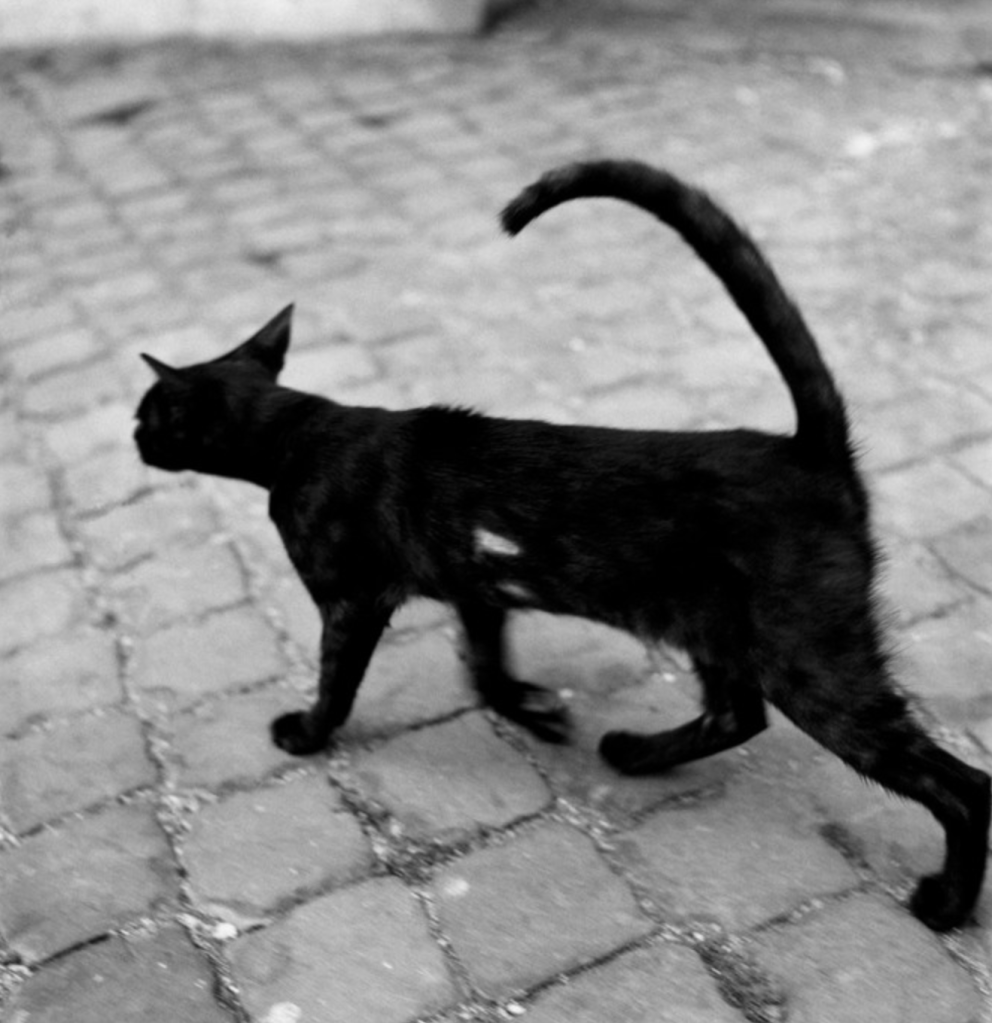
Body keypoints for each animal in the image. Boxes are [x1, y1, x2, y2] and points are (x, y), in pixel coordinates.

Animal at [134, 159, 990, 932]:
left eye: (146, 413)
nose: (132, 437)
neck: (298, 432)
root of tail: (809, 448)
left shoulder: (351, 600)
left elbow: (338, 682)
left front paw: (306, 733)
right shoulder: (476, 585)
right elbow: (484, 671)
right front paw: (536, 710)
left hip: (809, 657)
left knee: (960, 782)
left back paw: (946, 905)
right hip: (715, 626)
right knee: (736, 714)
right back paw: (635, 751)